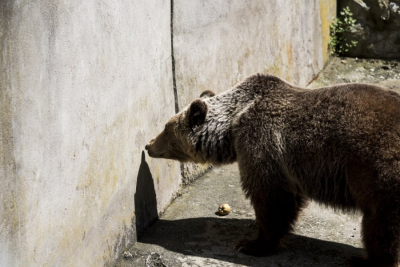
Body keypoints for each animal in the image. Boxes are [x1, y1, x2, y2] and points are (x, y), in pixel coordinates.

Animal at [145, 74, 400, 267]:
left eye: (166, 128)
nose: (148, 145)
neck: (233, 125)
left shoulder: (263, 144)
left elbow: (271, 197)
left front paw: (251, 243)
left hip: (378, 168)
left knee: (380, 223)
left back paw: (366, 260)